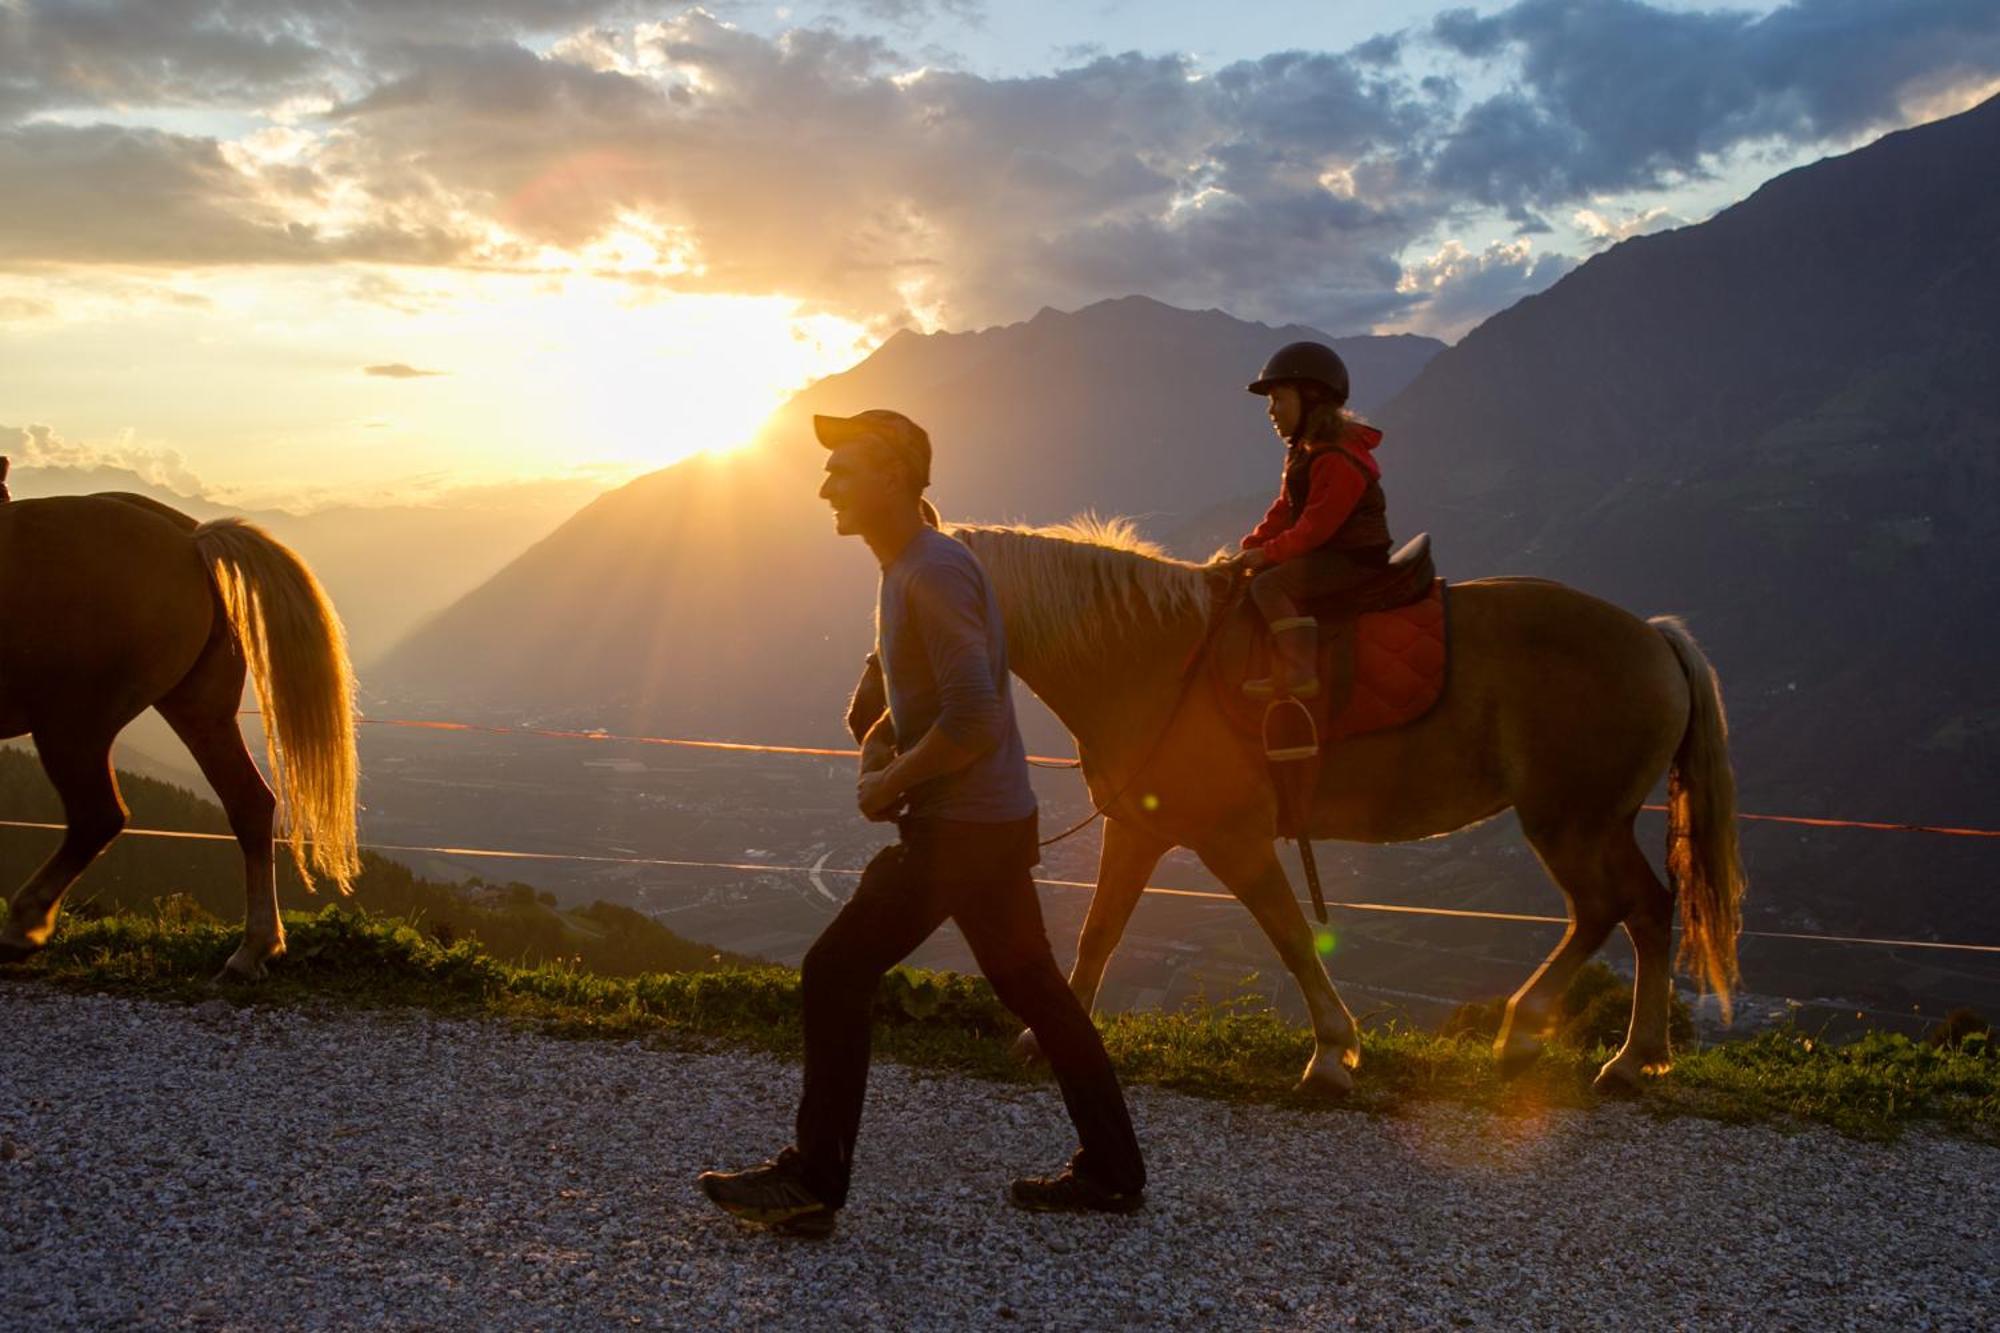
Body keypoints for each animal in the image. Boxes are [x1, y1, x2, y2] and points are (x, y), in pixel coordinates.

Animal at [0, 480, 356, 976]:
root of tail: (190, 541)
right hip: (200, 711)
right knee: (249, 803)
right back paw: (254, 947)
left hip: (73, 723)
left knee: (98, 816)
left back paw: (22, 926)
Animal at [852, 516, 1744, 1088]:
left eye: (907, 614)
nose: (865, 721)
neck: (1150, 658)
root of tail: (1655, 635)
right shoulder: (1137, 832)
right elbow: (1098, 935)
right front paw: (1049, 1040)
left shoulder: (1233, 840)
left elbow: (1286, 933)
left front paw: (1331, 1053)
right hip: (1598, 822)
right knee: (1642, 908)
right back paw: (1624, 1052)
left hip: (1570, 822)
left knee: (1611, 908)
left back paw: (1566, 1040)